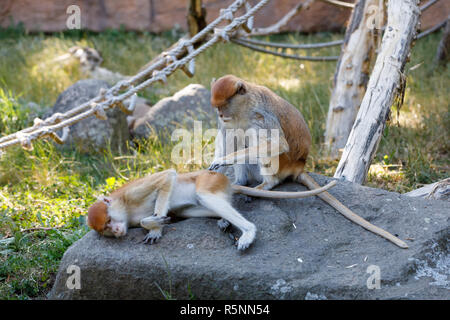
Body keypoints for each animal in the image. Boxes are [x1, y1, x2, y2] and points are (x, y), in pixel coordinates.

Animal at [87, 169, 334, 251]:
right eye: (106, 230)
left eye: (108, 222)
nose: (115, 231)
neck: (124, 208)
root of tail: (228, 182)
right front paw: (155, 226)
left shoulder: (131, 193)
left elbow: (167, 176)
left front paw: (155, 225)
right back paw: (224, 221)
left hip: (209, 180)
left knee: (203, 195)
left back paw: (248, 232)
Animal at [209, 74, 410, 249]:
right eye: (216, 107)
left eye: (224, 104)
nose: (220, 114)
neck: (244, 107)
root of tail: (299, 165)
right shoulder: (227, 123)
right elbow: (228, 137)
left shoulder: (261, 116)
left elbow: (278, 143)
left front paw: (223, 160)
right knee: (234, 135)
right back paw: (241, 184)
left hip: (283, 162)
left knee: (254, 137)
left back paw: (264, 185)